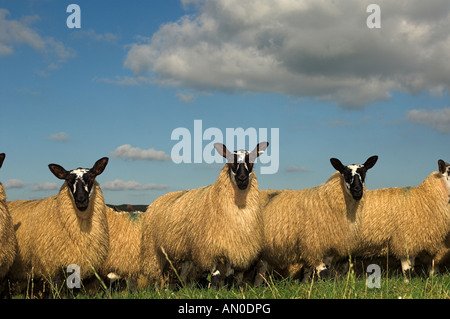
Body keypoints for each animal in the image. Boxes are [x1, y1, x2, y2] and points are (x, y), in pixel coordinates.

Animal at [140, 141, 268, 288]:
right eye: (230, 160)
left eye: (252, 159)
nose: (242, 179)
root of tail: (156, 201)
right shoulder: (208, 247)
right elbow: (216, 275)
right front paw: (215, 289)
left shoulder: (231, 245)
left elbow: (229, 275)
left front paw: (228, 288)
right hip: (154, 249)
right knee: (158, 273)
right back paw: (159, 288)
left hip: (185, 251)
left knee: (183, 273)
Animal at [255, 156, 378, 284]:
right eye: (345, 173)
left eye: (364, 173)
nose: (357, 190)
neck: (328, 201)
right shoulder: (313, 244)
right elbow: (322, 272)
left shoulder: (328, 247)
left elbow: (312, 270)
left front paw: (305, 285)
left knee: (261, 269)